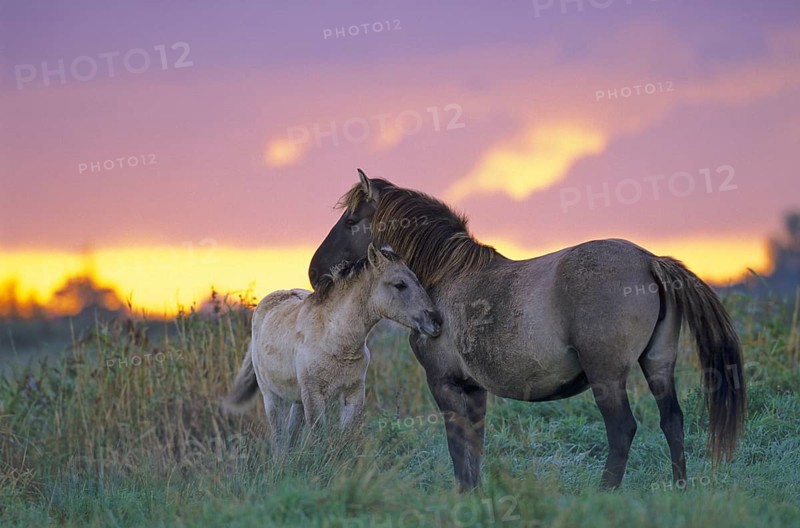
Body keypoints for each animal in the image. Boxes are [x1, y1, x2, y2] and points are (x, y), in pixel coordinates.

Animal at [223, 243, 442, 455]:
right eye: (400, 284)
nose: (436, 321)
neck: (336, 339)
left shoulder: (353, 392)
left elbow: (346, 437)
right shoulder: (313, 395)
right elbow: (319, 437)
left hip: (297, 400)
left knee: (291, 435)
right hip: (271, 396)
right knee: (280, 439)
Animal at [307, 169, 746, 490]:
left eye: (351, 221)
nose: (315, 273)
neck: (445, 277)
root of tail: (650, 261)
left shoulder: (444, 383)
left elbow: (457, 446)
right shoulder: (474, 389)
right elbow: (475, 445)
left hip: (607, 376)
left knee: (623, 429)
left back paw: (605, 493)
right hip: (658, 364)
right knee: (672, 420)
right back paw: (680, 489)